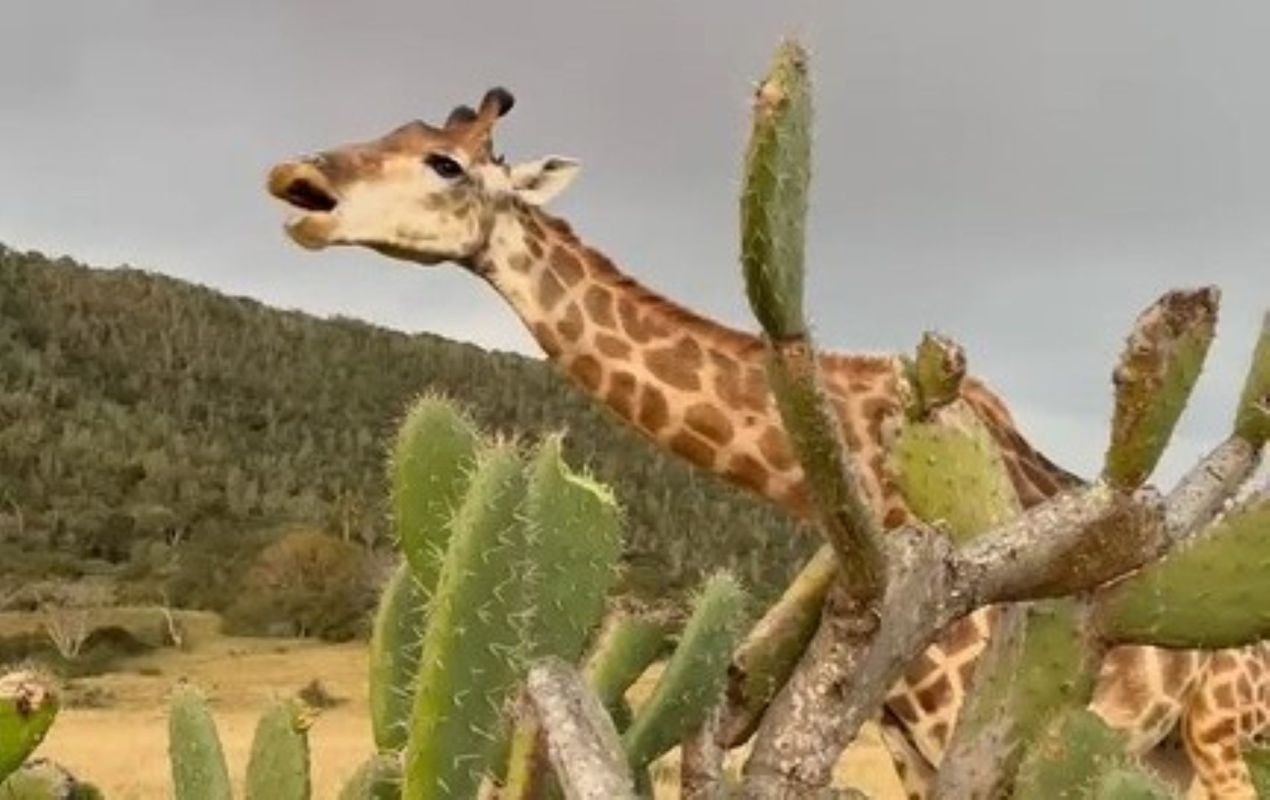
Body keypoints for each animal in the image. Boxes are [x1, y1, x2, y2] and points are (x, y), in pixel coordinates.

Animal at [264, 88, 1264, 798]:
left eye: (444, 164)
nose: (297, 184)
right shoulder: (905, 743)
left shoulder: (975, 722)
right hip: (1170, 750)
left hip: (1226, 735)